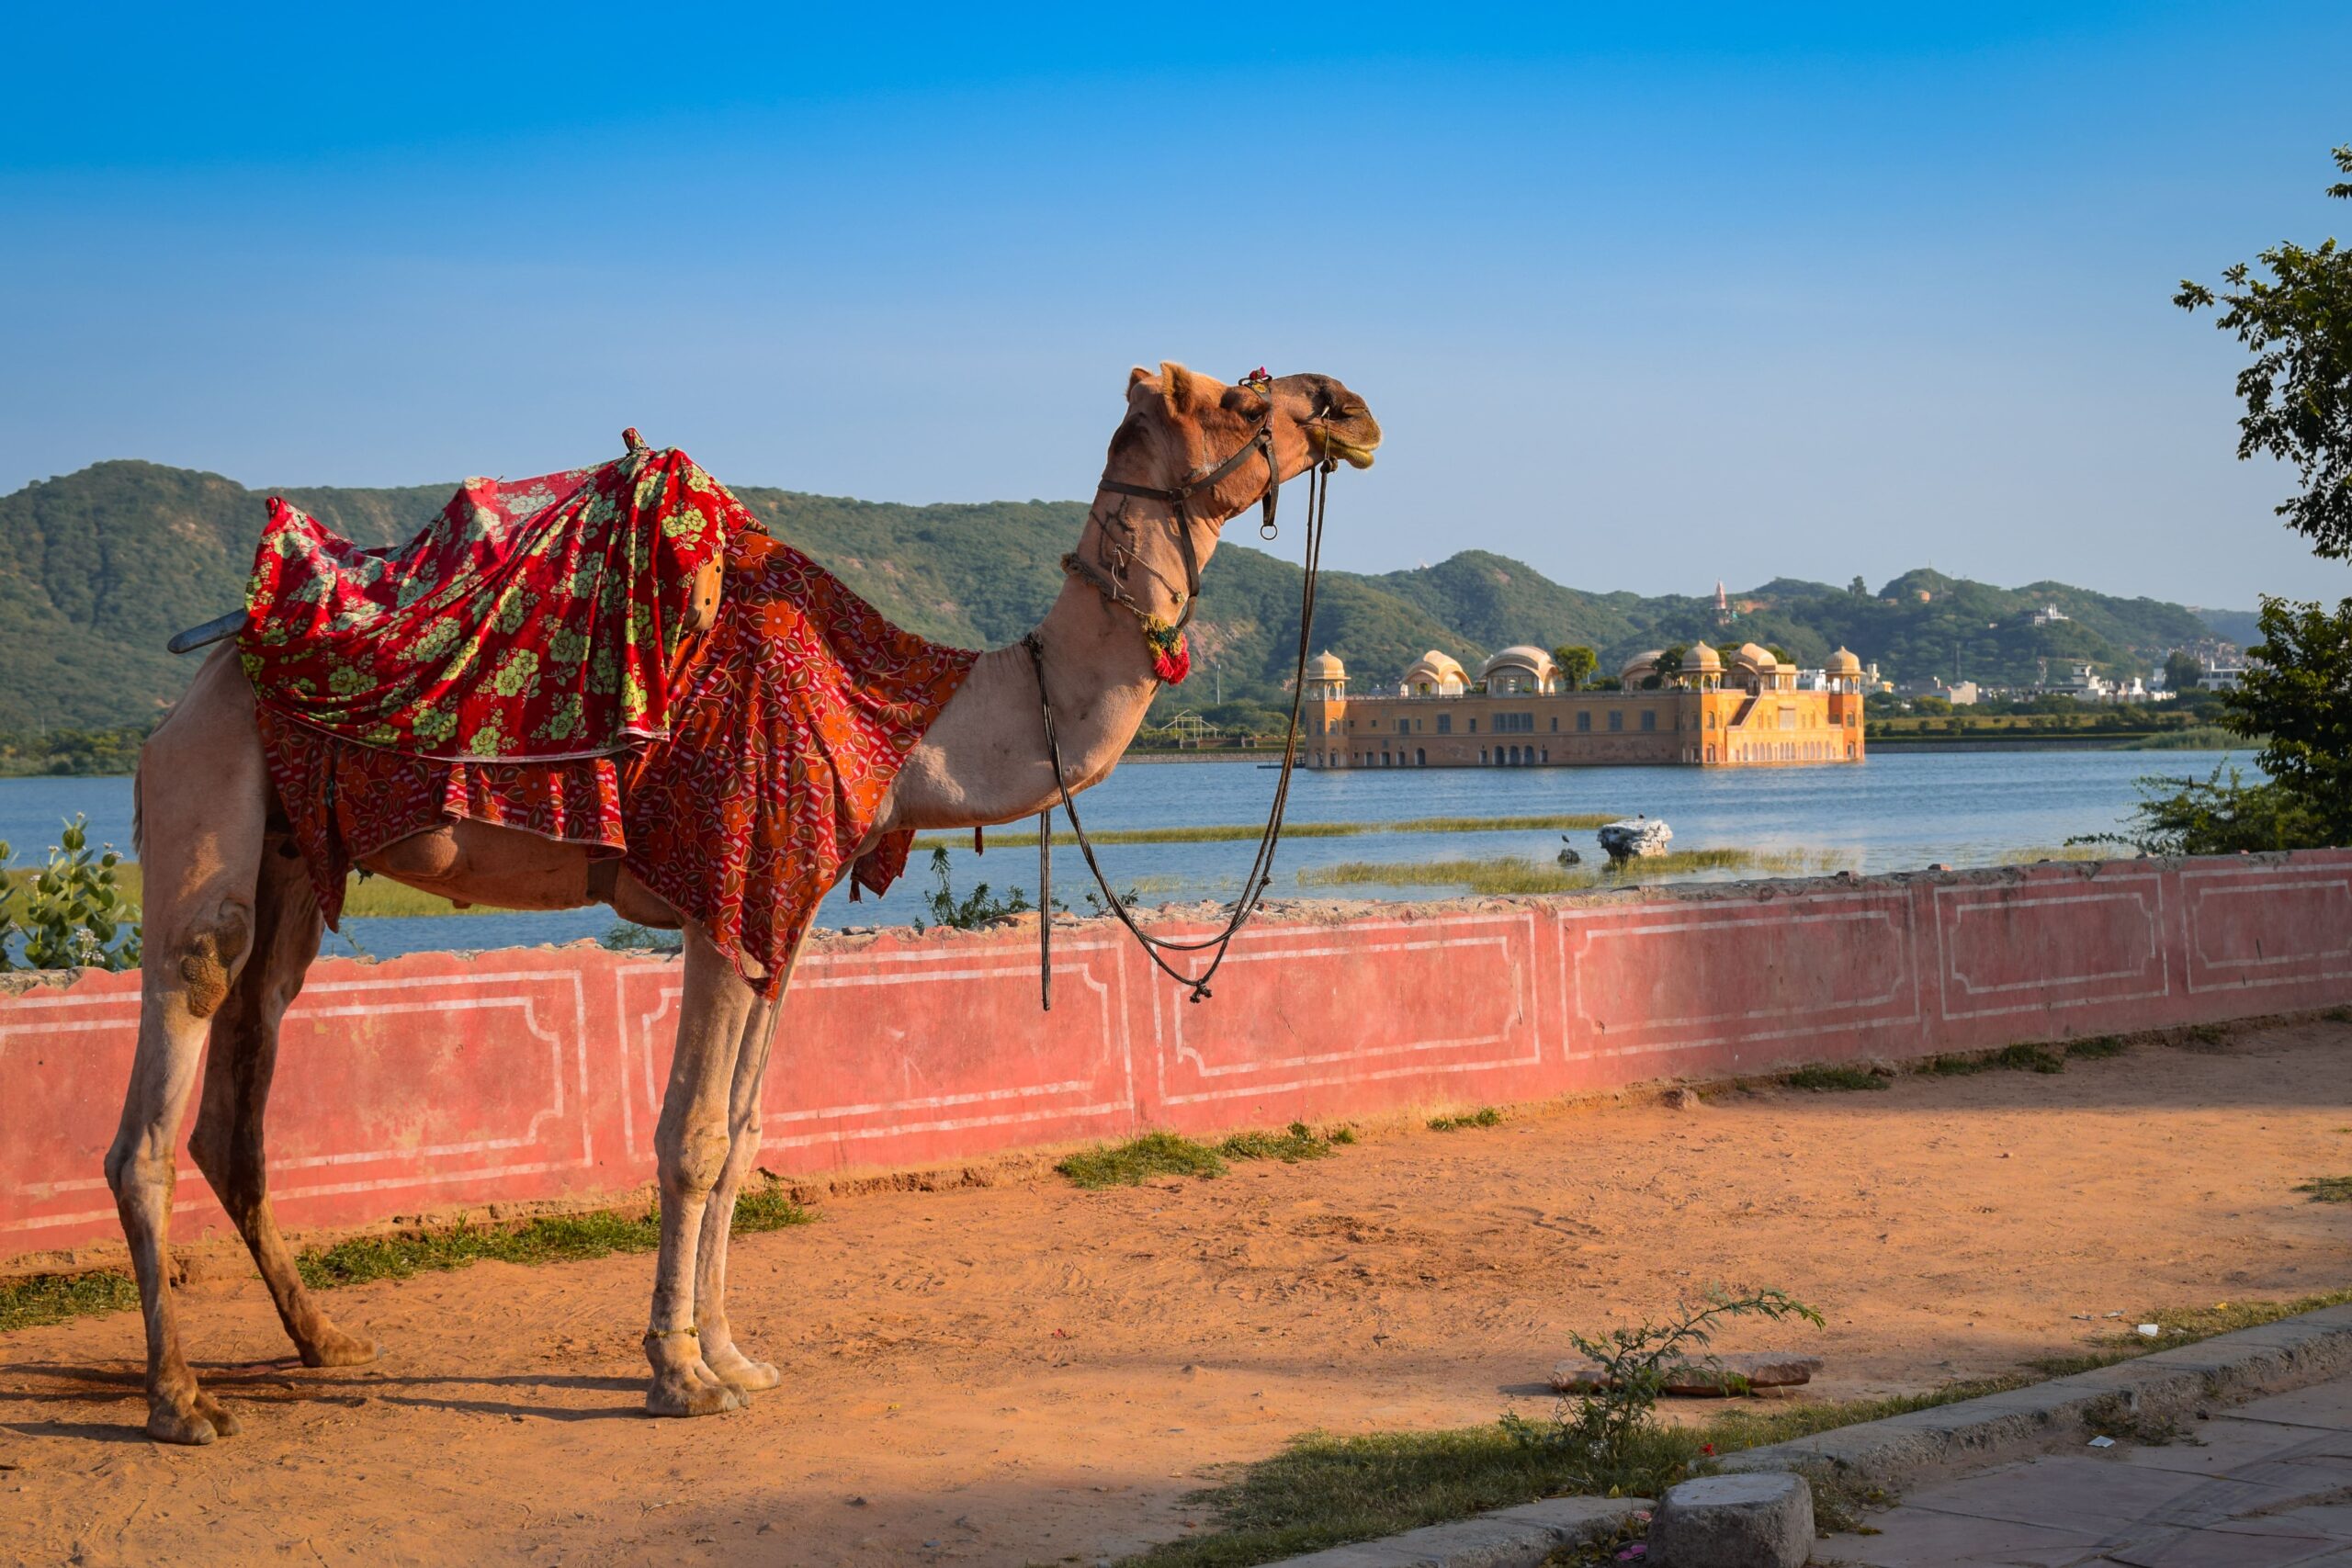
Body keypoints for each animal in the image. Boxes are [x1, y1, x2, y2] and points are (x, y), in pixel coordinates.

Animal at [107, 363, 1381, 1443]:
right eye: (1240, 395)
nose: (1350, 407)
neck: (909, 722)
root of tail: (194, 681)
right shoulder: (728, 883)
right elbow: (693, 1136)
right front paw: (677, 1374)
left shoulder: (784, 912)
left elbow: (746, 1132)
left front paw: (730, 1352)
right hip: (207, 800)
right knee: (173, 1049)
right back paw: (180, 1399)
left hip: (292, 861)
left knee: (248, 1065)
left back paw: (323, 1339)